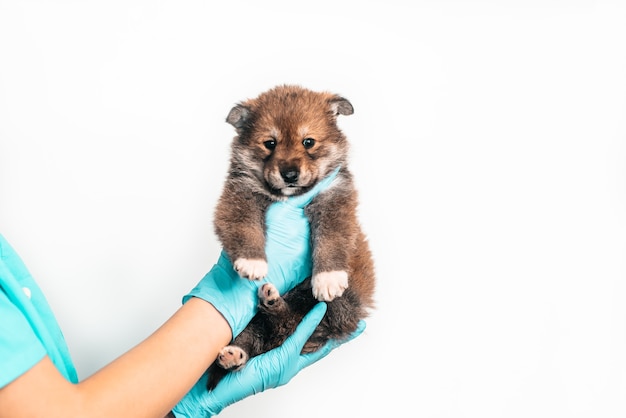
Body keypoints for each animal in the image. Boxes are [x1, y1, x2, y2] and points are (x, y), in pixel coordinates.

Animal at [206, 85, 376, 392]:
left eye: (308, 142)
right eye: (269, 143)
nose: (289, 174)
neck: (288, 197)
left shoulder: (335, 198)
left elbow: (331, 238)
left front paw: (328, 278)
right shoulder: (239, 195)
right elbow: (245, 227)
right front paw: (252, 261)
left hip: (336, 306)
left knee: (290, 322)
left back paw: (272, 306)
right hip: (257, 327)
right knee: (256, 337)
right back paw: (235, 354)